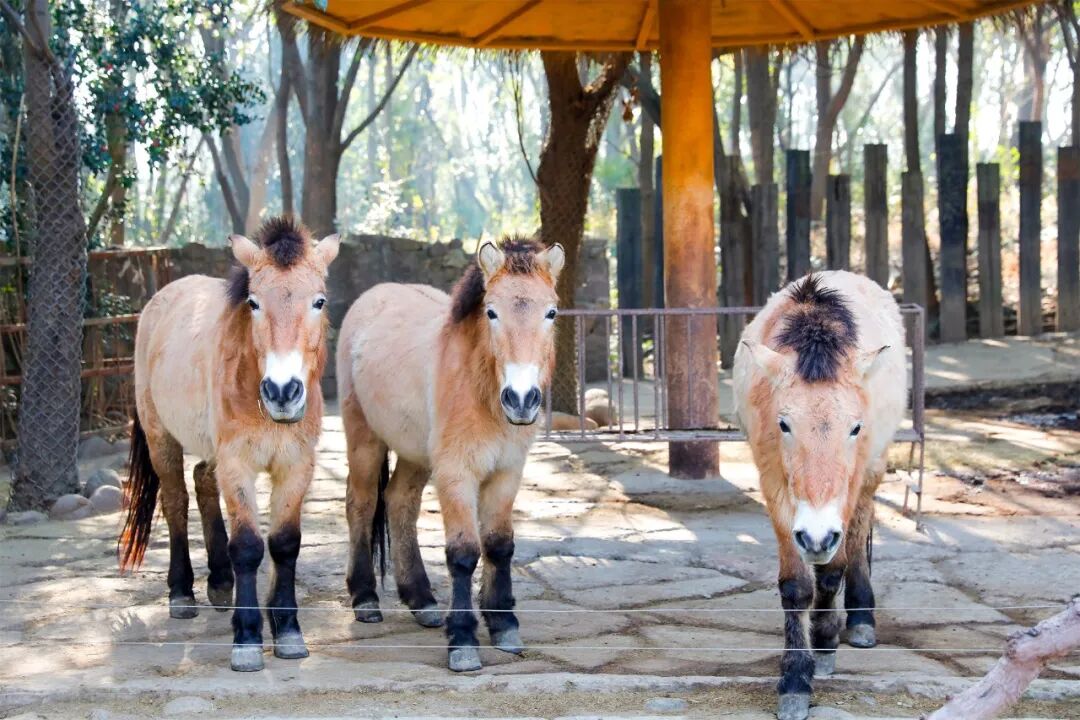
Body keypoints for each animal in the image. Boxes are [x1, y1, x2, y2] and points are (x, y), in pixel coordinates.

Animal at [118, 216, 340, 673]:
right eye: (253, 302)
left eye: (319, 301)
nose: (282, 391)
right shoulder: (238, 463)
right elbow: (250, 546)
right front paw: (248, 639)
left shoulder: (296, 465)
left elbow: (285, 544)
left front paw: (288, 632)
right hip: (161, 439)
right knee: (176, 500)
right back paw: (182, 592)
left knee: (203, 480)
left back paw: (220, 583)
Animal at [335, 236, 564, 672]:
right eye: (491, 311)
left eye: (551, 312)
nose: (521, 399)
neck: (480, 387)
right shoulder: (457, 473)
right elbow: (463, 553)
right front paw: (462, 642)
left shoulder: (507, 471)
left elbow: (499, 545)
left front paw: (504, 625)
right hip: (364, 440)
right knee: (362, 503)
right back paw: (366, 599)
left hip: (414, 455)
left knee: (399, 502)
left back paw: (421, 600)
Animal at [732, 271, 906, 720]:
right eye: (784, 424)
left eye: (855, 427)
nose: (815, 536)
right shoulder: (774, 485)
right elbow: (796, 585)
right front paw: (795, 679)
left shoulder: (846, 489)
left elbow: (830, 571)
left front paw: (825, 643)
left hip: (871, 473)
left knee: (860, 530)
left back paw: (861, 619)